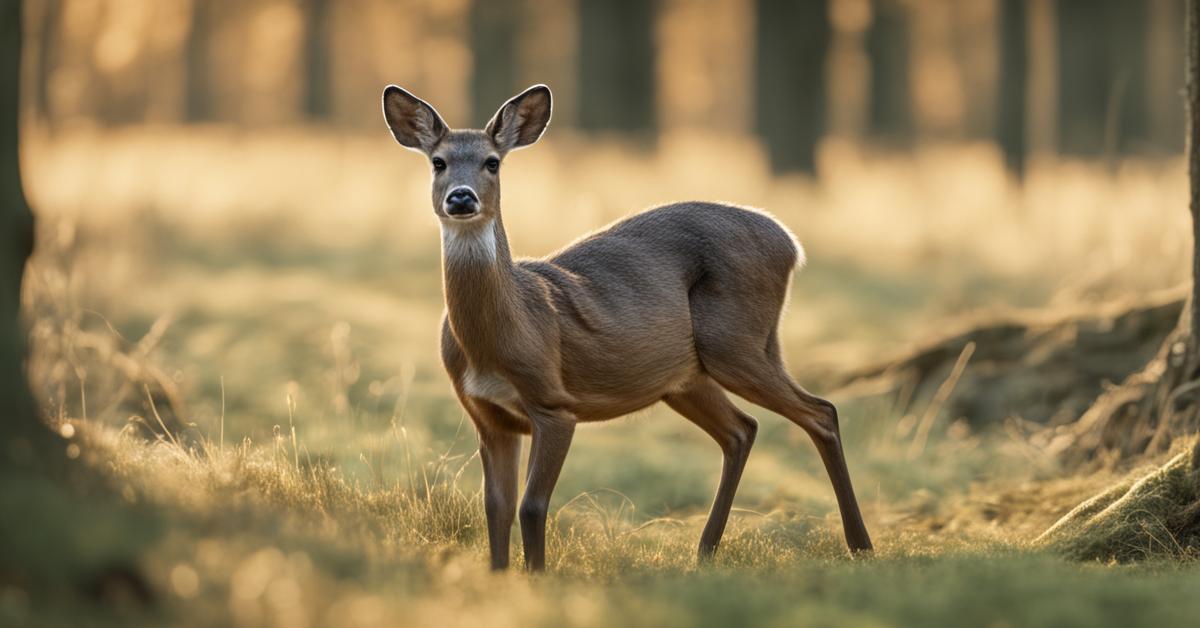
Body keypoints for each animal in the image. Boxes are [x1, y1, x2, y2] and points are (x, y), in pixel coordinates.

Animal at [381, 82, 873, 569]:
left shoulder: (554, 403)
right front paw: (502, 577)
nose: (461, 197)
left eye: (492, 162)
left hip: (735, 342)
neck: (502, 333)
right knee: (741, 429)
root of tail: (791, 245)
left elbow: (532, 506)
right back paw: (705, 552)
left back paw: (860, 544)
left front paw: (537, 577)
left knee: (821, 412)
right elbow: (495, 508)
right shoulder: (487, 416)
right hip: (686, 376)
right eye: (438, 161)